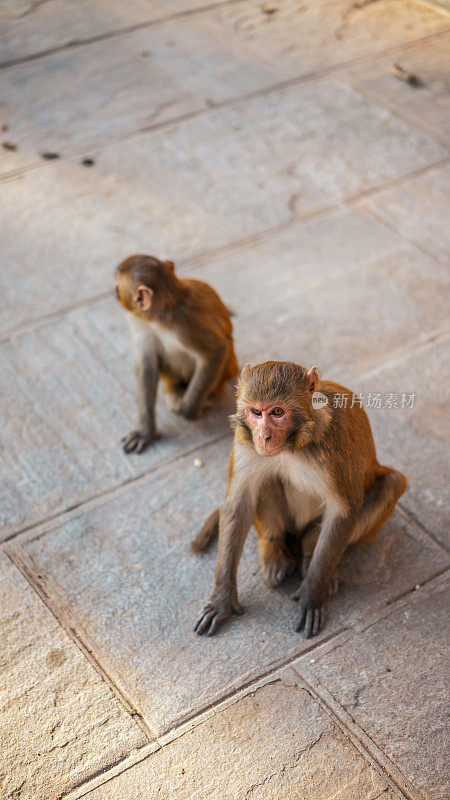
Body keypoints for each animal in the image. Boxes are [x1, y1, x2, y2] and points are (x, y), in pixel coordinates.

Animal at [115, 253, 239, 454]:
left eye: (118, 285)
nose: (115, 291)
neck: (160, 316)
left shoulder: (185, 325)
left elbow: (217, 351)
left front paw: (189, 410)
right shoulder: (141, 324)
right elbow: (147, 366)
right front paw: (145, 432)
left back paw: (207, 398)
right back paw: (173, 390)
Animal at [194, 362, 408, 636]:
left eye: (277, 412)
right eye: (256, 412)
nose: (264, 436)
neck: (292, 444)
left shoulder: (333, 449)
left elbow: (343, 511)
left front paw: (313, 592)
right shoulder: (246, 444)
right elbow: (239, 506)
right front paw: (222, 599)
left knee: (391, 484)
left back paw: (310, 552)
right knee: (267, 479)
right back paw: (274, 549)